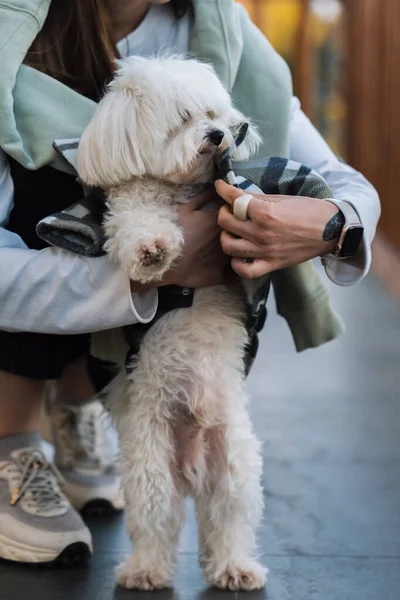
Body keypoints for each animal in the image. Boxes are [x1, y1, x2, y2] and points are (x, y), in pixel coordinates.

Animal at [76, 56, 268, 592]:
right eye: (183, 118)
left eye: (213, 113)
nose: (220, 134)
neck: (175, 188)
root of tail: (191, 468)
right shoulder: (128, 210)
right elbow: (137, 224)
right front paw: (153, 249)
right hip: (149, 464)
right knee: (157, 519)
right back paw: (145, 571)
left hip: (234, 465)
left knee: (227, 519)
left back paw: (236, 567)